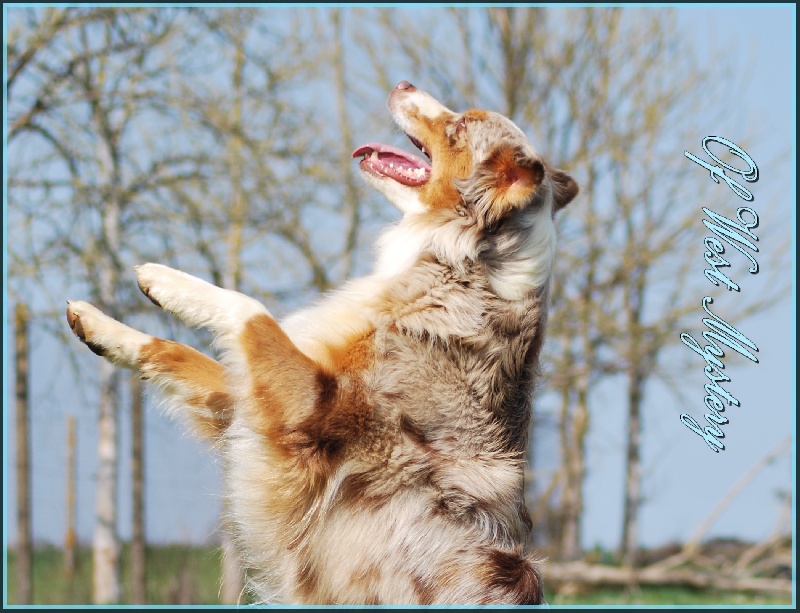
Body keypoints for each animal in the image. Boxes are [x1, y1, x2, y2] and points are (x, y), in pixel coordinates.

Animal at [62, 80, 576, 604]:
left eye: (461, 125)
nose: (403, 84)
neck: (457, 266)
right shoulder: (254, 403)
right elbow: (179, 352)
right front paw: (102, 324)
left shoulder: (313, 408)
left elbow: (250, 310)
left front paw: (166, 279)